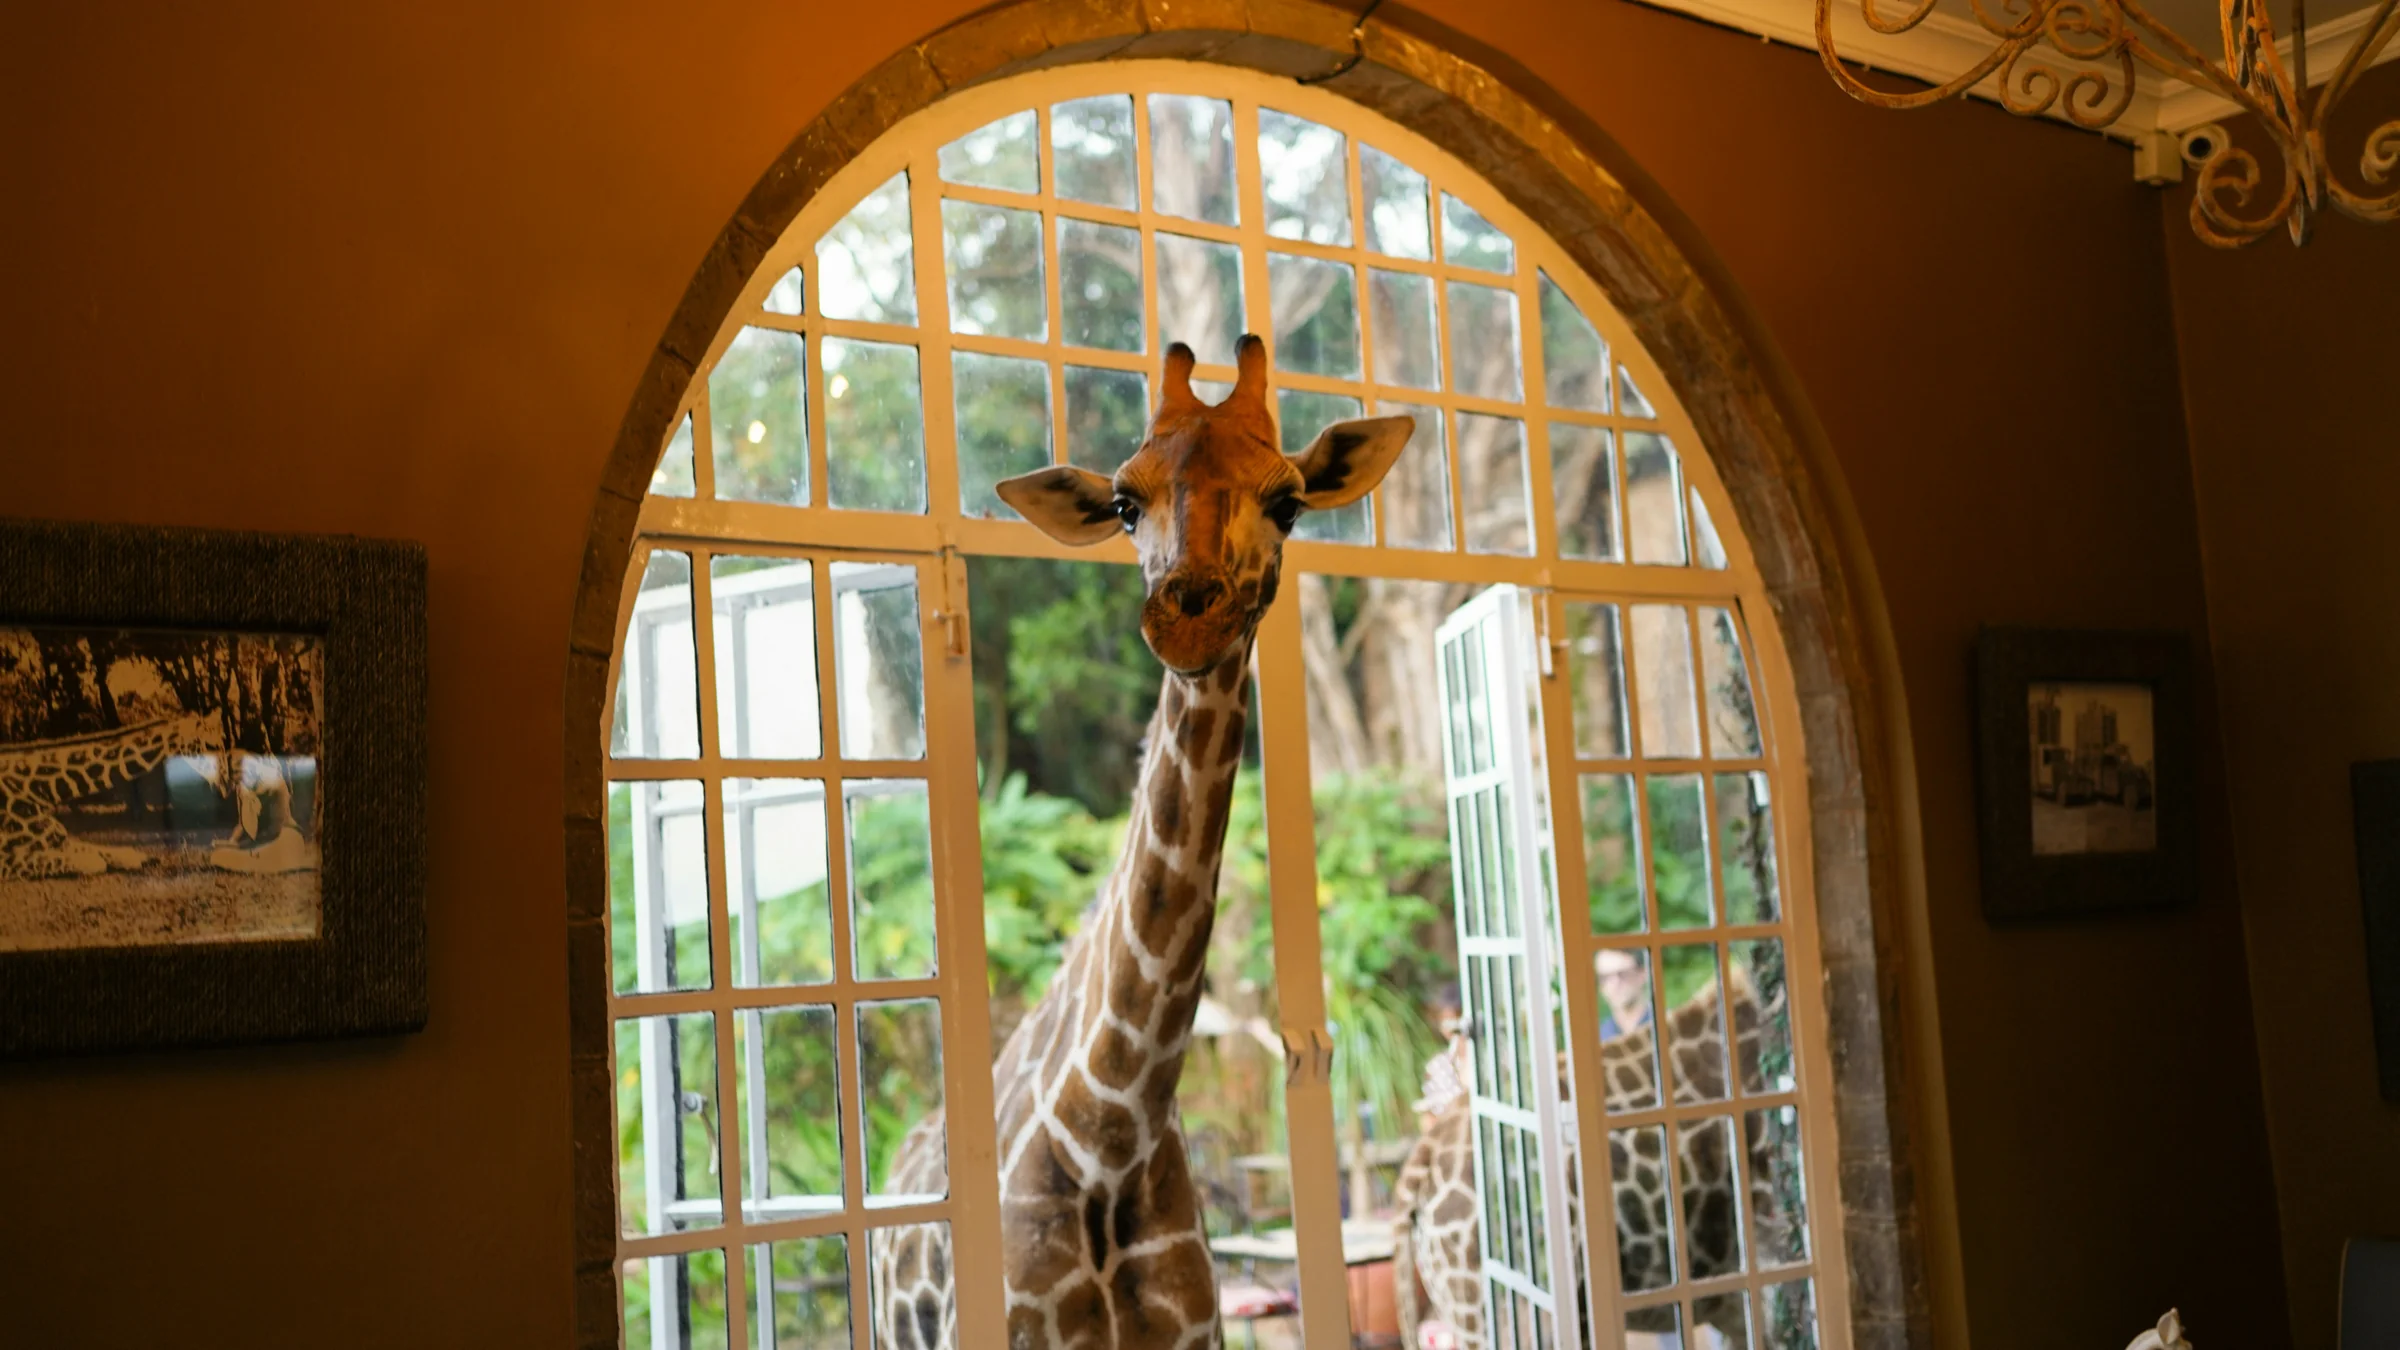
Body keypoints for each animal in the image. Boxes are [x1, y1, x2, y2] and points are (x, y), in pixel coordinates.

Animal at [0, 712, 222, 881]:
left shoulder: (61, 839)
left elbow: (110, 851)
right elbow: (93, 862)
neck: (41, 791)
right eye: (212, 745)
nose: (221, 780)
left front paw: (141, 859)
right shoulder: (8, 859)